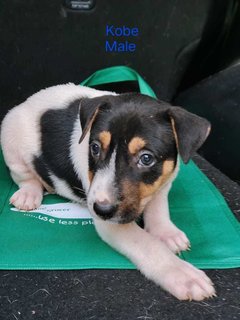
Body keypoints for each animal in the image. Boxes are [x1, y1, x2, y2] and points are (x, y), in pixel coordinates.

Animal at [0, 84, 215, 302]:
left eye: (146, 158)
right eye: (95, 148)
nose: (100, 210)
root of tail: (26, 102)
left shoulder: (163, 183)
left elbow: (158, 208)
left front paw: (166, 233)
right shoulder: (112, 224)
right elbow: (149, 245)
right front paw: (182, 275)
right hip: (11, 141)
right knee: (25, 176)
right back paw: (28, 194)